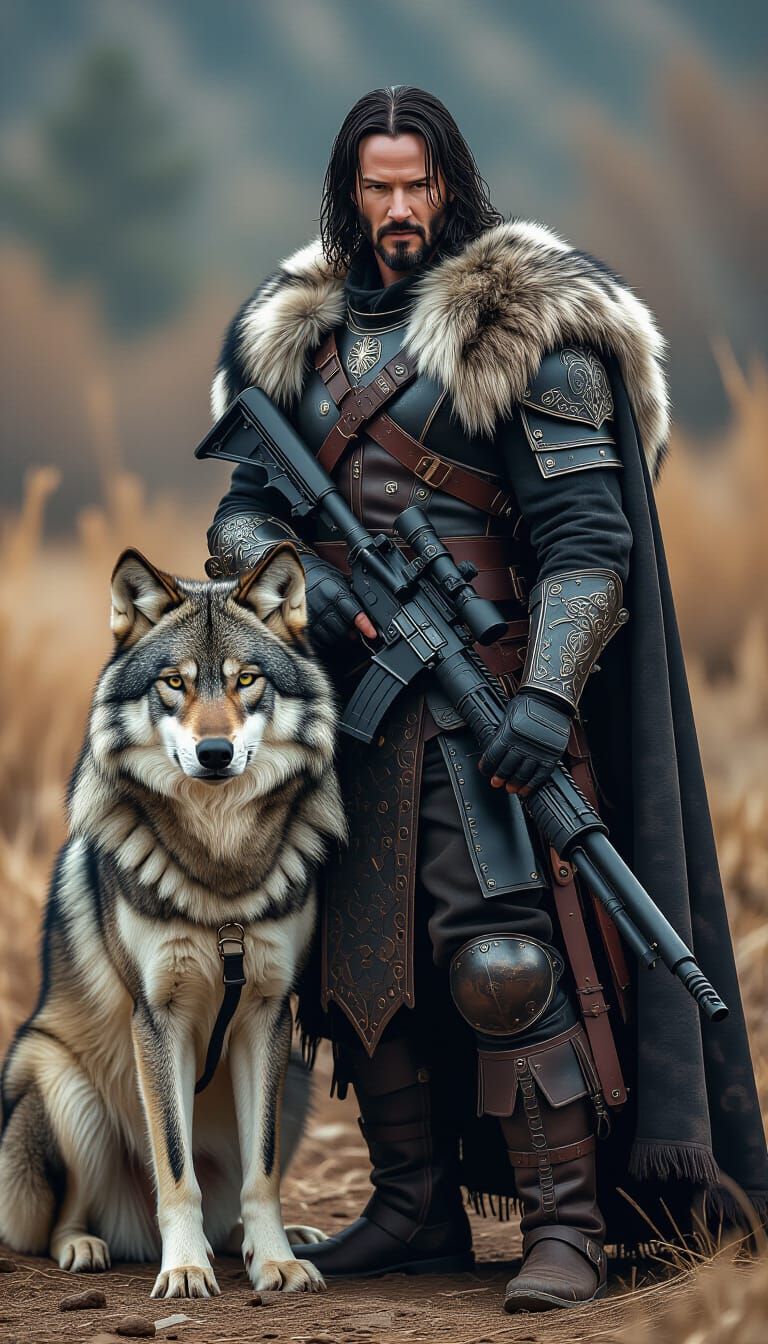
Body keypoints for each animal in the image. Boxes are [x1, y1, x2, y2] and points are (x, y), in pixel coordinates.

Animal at [0, 543, 346, 1298]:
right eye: (172, 684)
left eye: (246, 680)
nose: (214, 753)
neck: (221, 879)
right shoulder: (156, 1016)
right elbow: (177, 1169)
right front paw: (185, 1269)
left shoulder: (267, 1011)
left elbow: (262, 1172)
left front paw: (277, 1260)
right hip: (62, 1084)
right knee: (67, 1215)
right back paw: (89, 1247)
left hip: (300, 1082)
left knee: (232, 1201)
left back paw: (266, 1240)